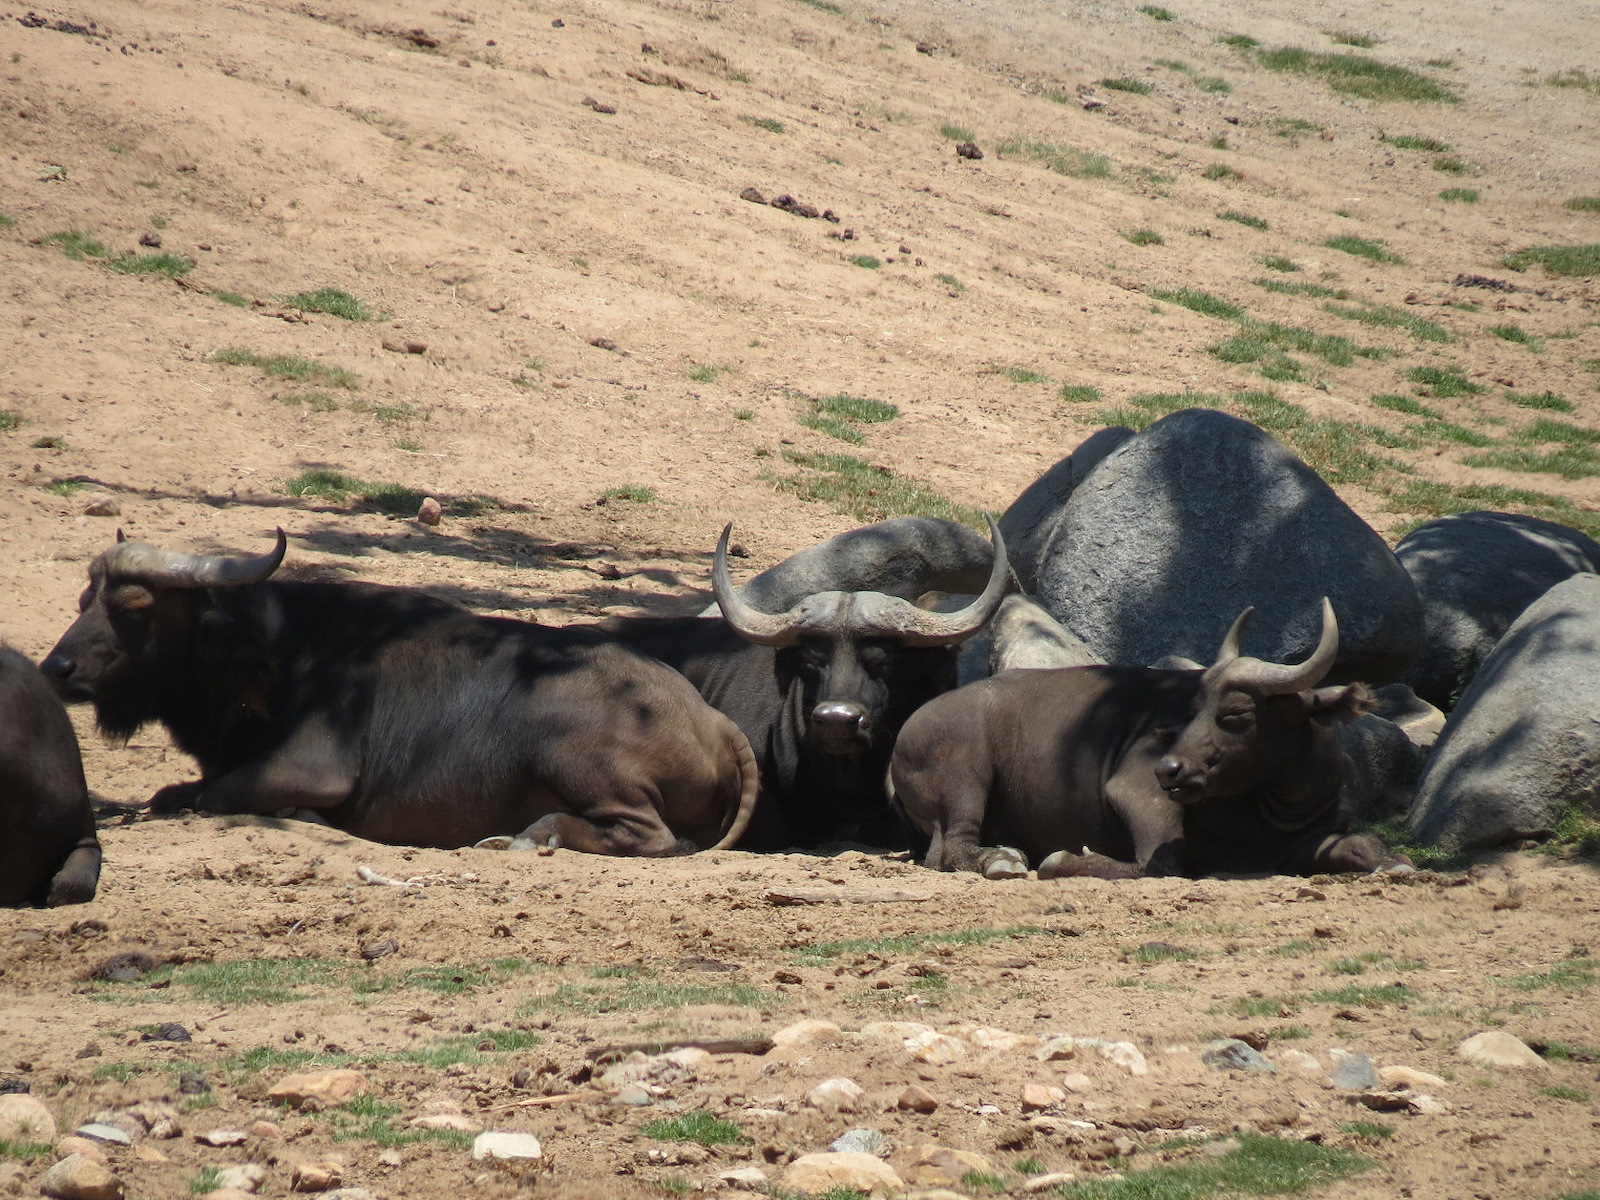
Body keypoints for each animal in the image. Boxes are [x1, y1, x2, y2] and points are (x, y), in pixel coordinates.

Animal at [41, 532, 756, 856]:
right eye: (83, 600)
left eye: (132, 607)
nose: (57, 667)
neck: (281, 654)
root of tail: (712, 720)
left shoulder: (312, 769)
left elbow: (199, 796)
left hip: (576, 758)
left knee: (650, 837)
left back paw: (531, 836)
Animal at [890, 599, 1398, 879]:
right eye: (1196, 707)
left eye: (1235, 713)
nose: (1169, 768)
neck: (1272, 807)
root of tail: (906, 732)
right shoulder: (1136, 789)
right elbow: (1159, 861)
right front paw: (1064, 861)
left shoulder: (1304, 841)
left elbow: (1363, 845)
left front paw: (1394, 862)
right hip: (964, 777)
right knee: (953, 845)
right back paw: (1003, 859)